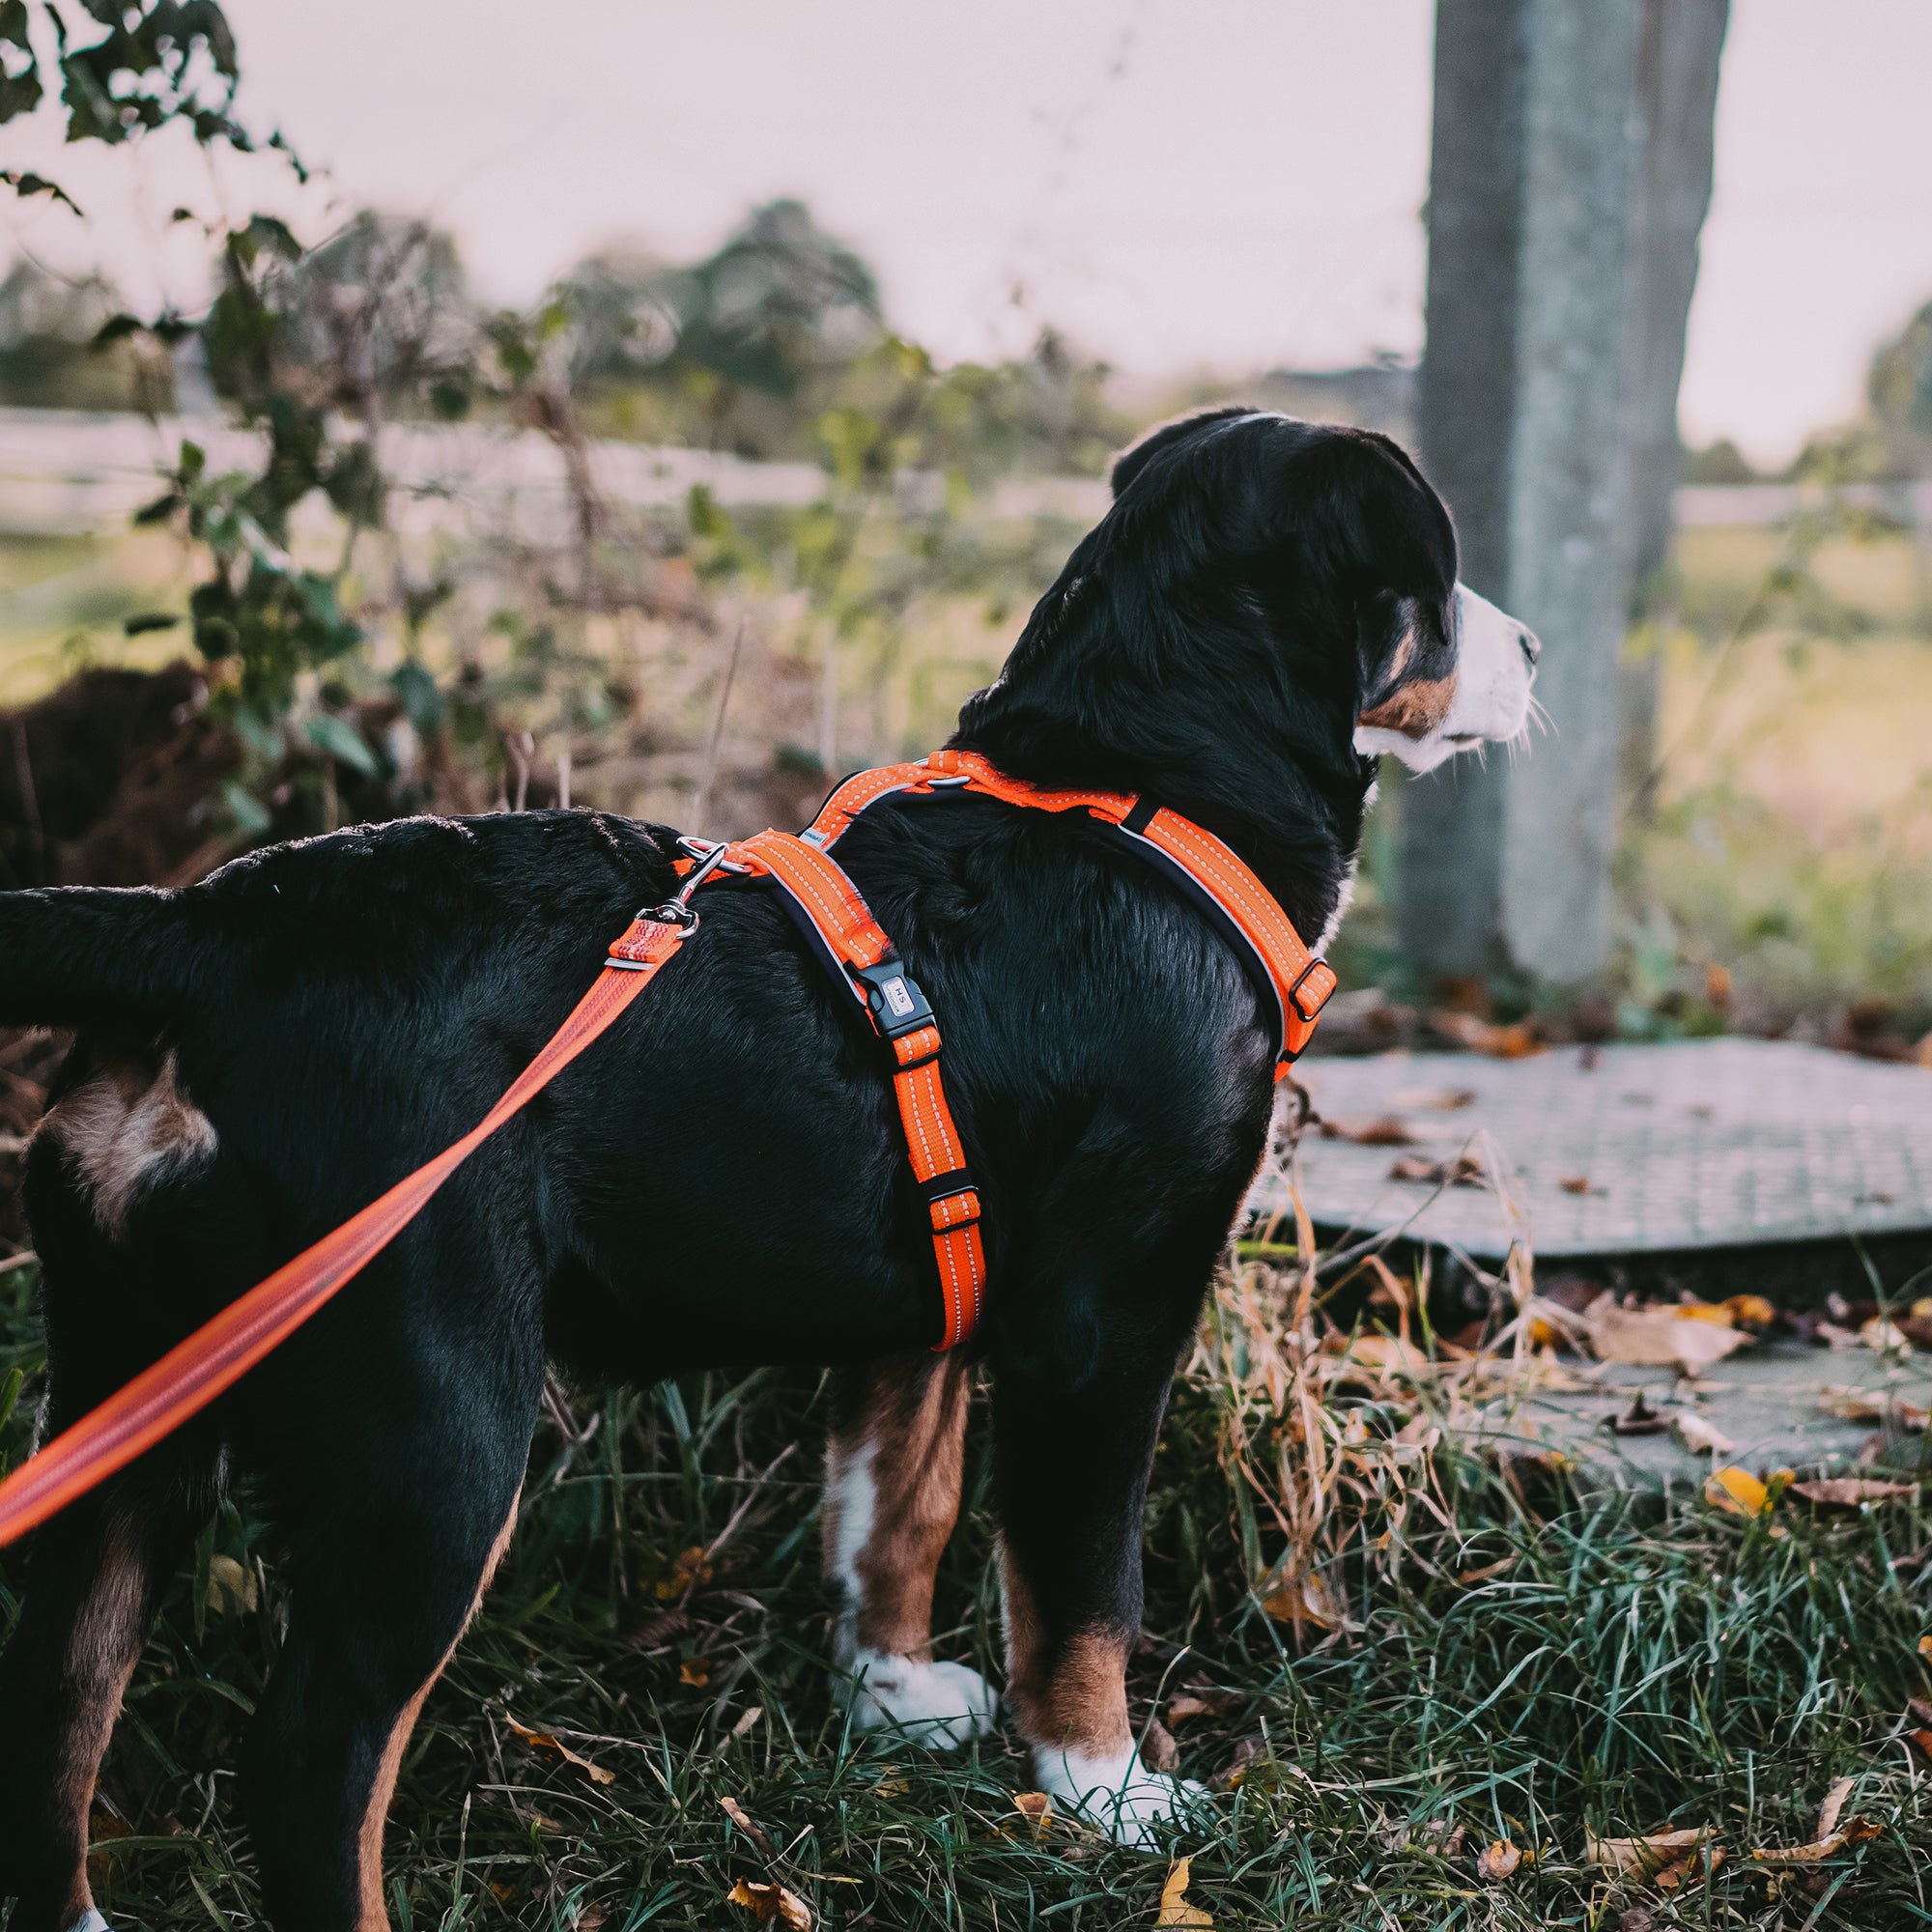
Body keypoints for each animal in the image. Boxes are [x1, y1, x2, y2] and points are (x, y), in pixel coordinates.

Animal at [0, 404, 1538, 1917]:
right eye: (1442, 578)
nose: (1530, 649)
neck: (1134, 794)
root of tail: (203, 929)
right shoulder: (1103, 1323)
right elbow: (1083, 1584)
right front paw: (1102, 1790)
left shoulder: (927, 1304)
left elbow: (895, 1507)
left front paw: (892, 1696)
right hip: (429, 1427)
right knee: (316, 1762)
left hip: (127, 1398)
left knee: (59, 1693)